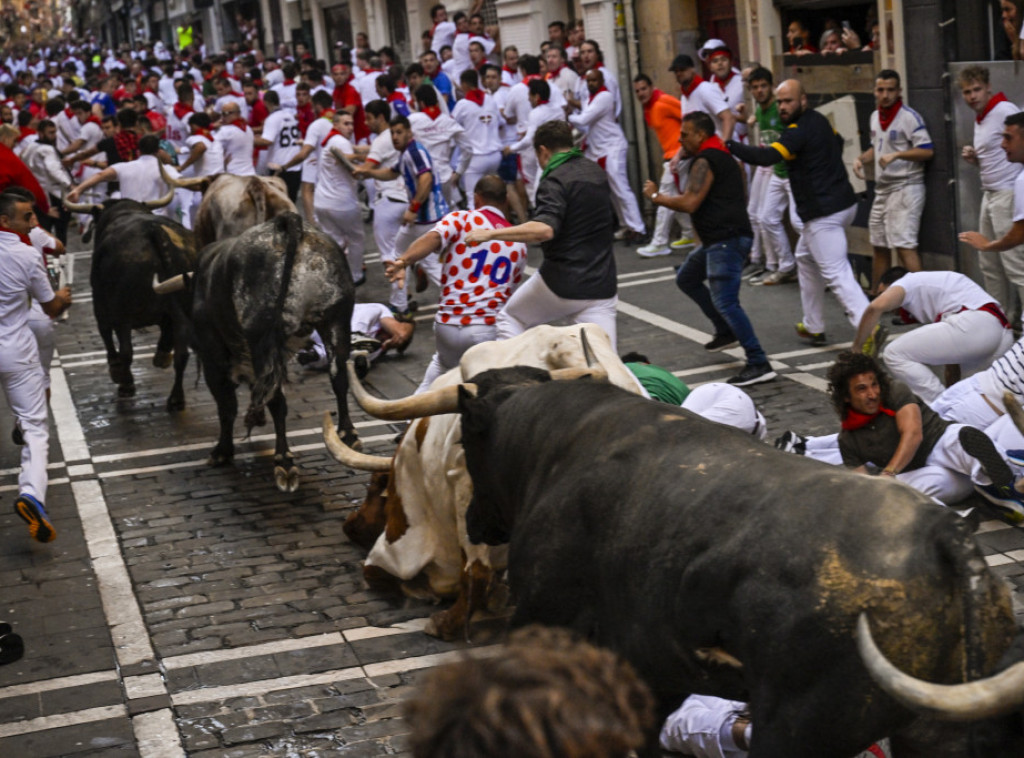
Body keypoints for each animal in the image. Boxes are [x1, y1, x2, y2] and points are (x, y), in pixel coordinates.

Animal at [63, 192, 195, 411]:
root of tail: (153, 231)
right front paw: (161, 357)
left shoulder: (101, 306)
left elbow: (108, 337)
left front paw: (117, 372)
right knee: (182, 354)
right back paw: (176, 398)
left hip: (121, 314)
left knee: (126, 350)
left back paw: (126, 384)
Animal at [153, 213, 358, 491]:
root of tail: (285, 224)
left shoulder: (213, 357)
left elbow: (226, 405)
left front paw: (222, 451)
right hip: (336, 320)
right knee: (338, 378)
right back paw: (348, 435)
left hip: (263, 339)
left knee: (277, 401)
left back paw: (284, 462)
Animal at [387, 364, 1024, 753]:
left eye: (466, 437)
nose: (476, 521)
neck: (556, 443)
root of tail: (945, 533)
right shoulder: (652, 672)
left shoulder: (545, 621)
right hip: (933, 731)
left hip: (795, 730)